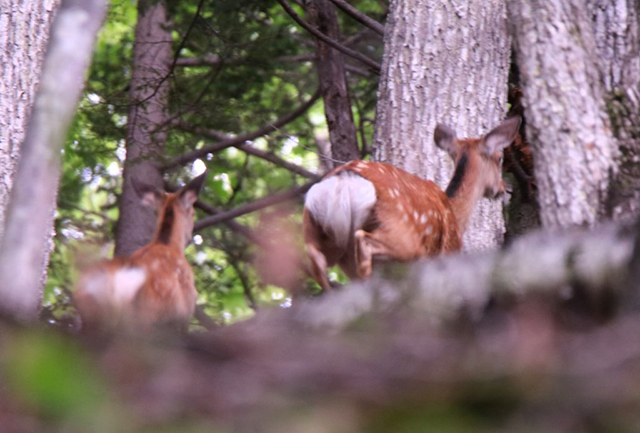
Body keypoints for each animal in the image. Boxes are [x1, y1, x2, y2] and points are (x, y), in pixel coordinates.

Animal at [304, 116, 520, 288]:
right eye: (499, 158)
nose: (503, 188)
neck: (455, 212)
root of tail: (343, 181)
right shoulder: (449, 250)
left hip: (323, 235)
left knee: (317, 262)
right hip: (403, 236)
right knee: (363, 242)